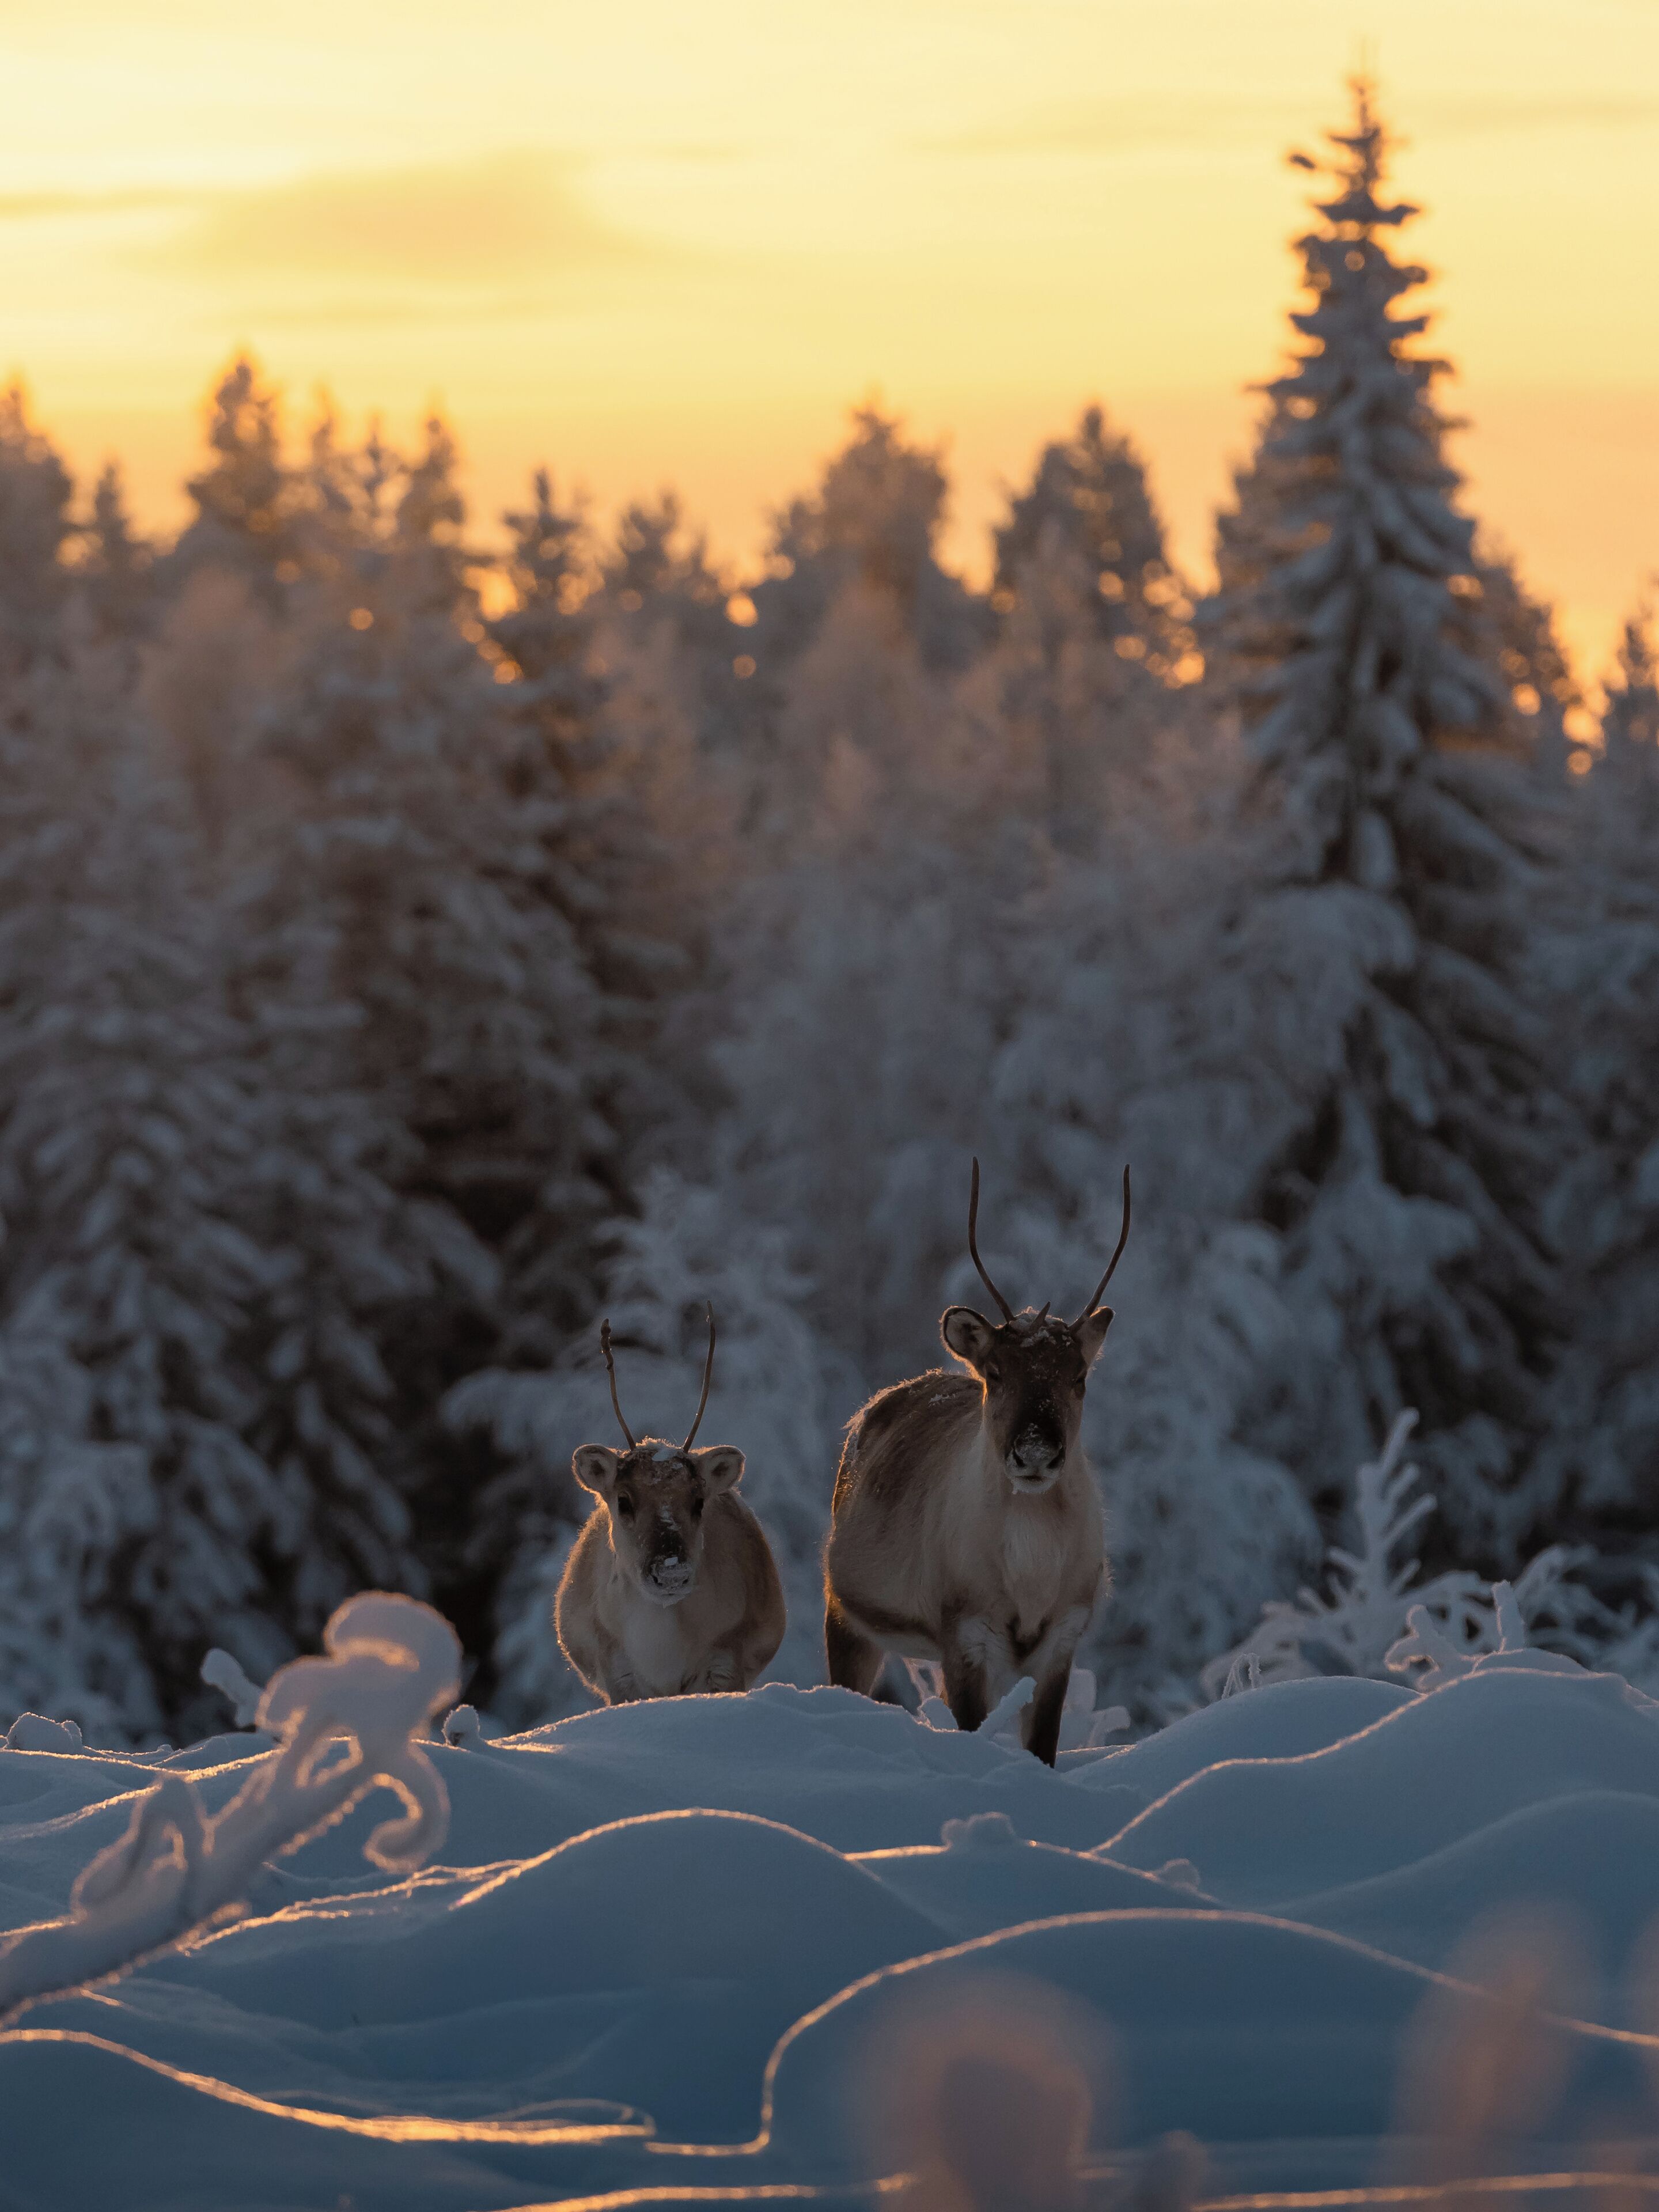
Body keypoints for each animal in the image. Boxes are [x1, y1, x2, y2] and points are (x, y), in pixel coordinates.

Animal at [555, 1308, 786, 1703]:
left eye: (699, 1500)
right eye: (623, 1500)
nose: (671, 1573)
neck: (662, 1649)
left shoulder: (727, 1662)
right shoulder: (616, 1671)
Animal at [823, 1160, 1130, 1766]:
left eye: (1079, 1376)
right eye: (995, 1372)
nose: (1035, 1451)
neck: (1032, 1573)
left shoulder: (1064, 1635)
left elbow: (1043, 1748)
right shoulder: (963, 1633)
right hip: (845, 1616)